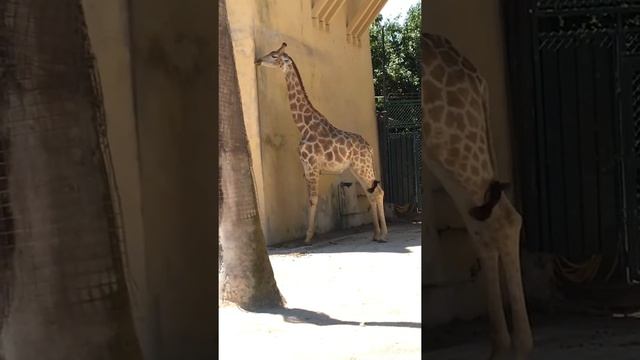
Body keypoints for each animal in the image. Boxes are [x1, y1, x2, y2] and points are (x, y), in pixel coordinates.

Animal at [256, 43, 388, 245]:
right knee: (370, 193)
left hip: (363, 167)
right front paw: (309, 234)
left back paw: (384, 235)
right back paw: (375, 234)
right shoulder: (306, 167)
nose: (258, 60)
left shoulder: (312, 166)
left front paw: (308, 237)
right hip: (356, 168)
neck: (303, 125)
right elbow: (309, 199)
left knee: (378, 192)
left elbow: (313, 199)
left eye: (274, 55)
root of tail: (370, 148)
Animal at [422, 32, 532, 358]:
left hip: (454, 138)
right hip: (441, 149)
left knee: (505, 220)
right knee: (482, 226)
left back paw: (519, 348)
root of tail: (477, 77)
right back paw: (500, 348)